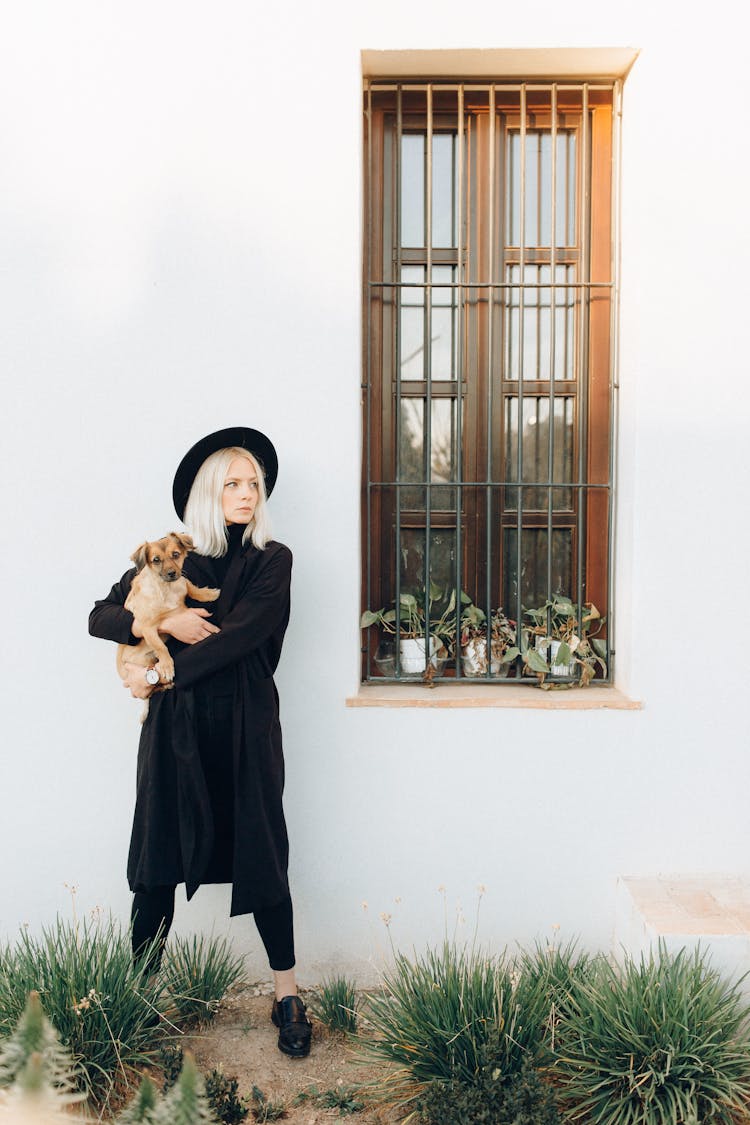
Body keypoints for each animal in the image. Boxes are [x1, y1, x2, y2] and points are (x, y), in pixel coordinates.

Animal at [115, 533, 220, 688]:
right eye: (156, 560)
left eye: (175, 554)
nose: (172, 573)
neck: (166, 588)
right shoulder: (147, 628)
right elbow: (160, 647)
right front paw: (166, 666)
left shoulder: (183, 581)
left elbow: (191, 588)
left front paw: (208, 594)